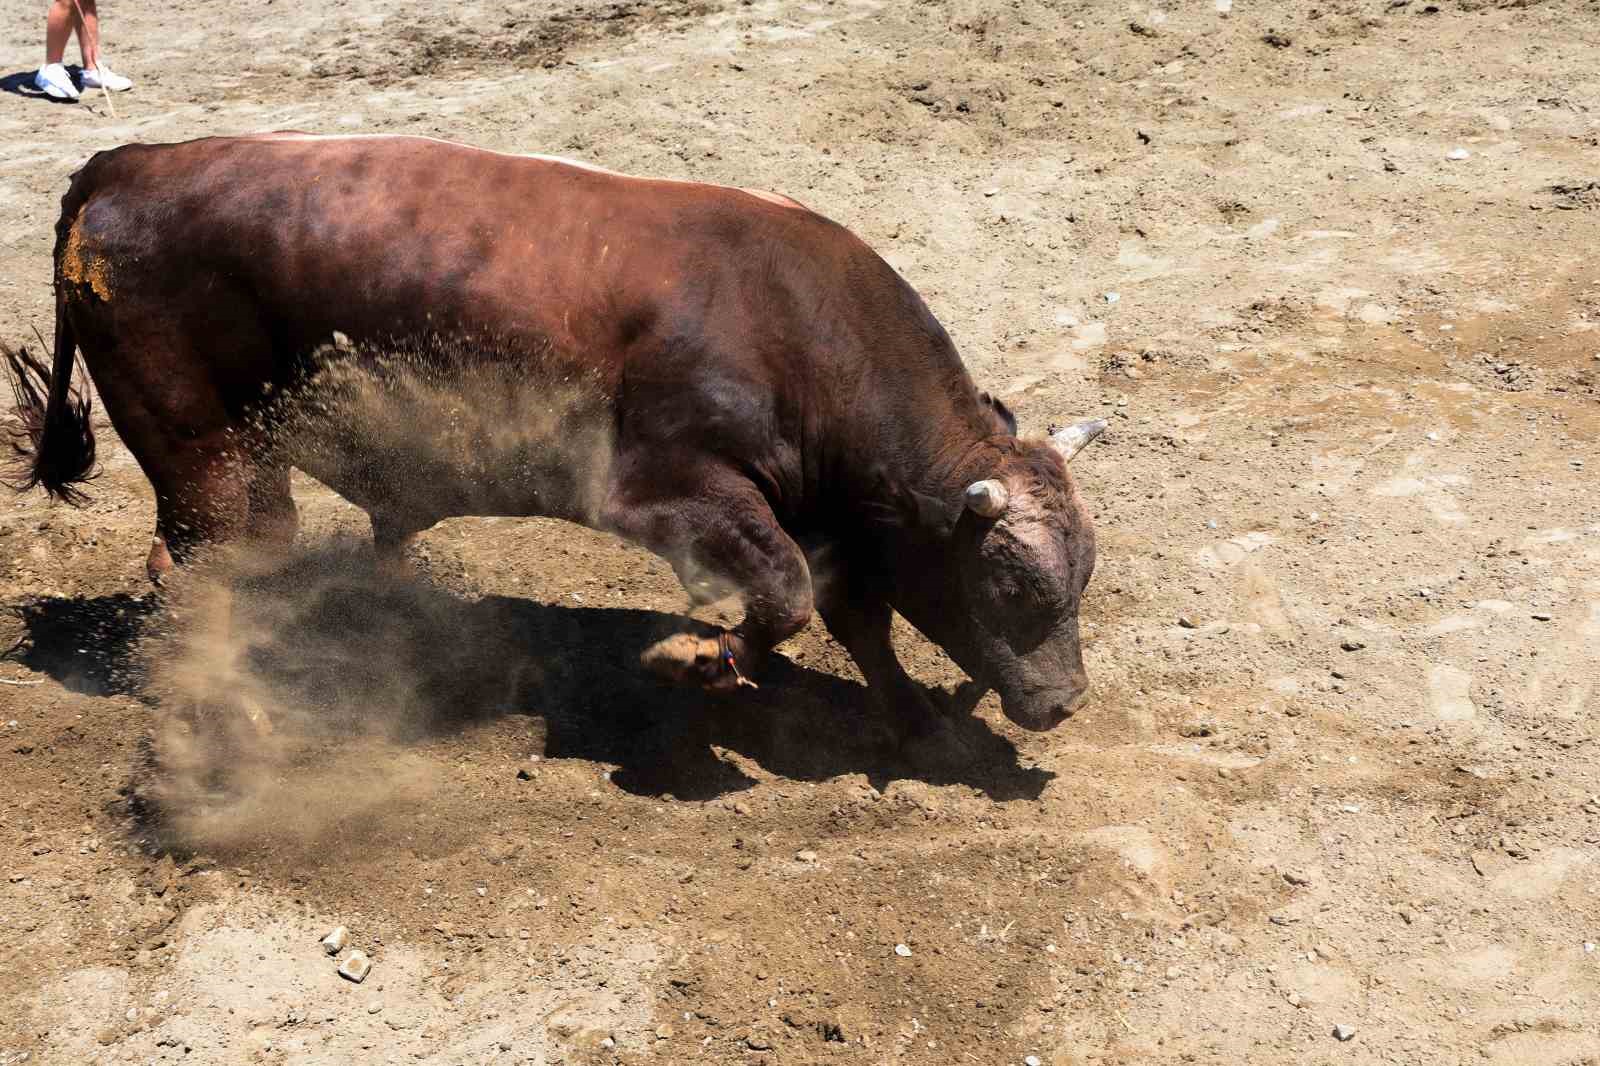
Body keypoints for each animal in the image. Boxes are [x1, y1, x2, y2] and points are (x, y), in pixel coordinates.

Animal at [3, 132, 1100, 739]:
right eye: (1012, 587)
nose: (1063, 704)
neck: (800, 328)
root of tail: (126, 165)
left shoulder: (838, 521)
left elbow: (855, 614)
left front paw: (910, 718)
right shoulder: (669, 488)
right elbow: (785, 592)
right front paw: (702, 660)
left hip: (235, 466)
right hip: (209, 461)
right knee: (205, 572)